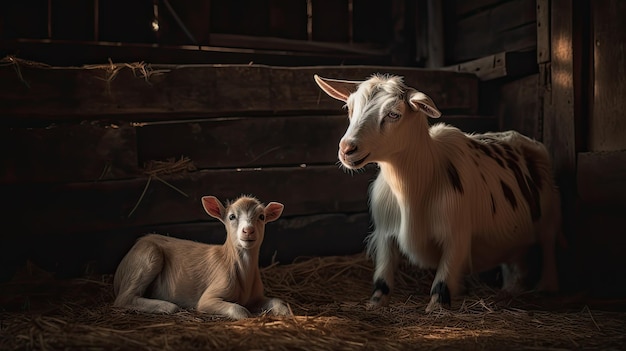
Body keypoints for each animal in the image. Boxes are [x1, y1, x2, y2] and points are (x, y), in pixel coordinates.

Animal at [113, 197, 288, 320]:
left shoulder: (256, 298)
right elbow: (240, 310)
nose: (248, 230)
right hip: (148, 257)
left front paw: (285, 312)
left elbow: (279, 303)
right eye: (232, 216)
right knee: (124, 298)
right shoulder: (209, 297)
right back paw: (167, 306)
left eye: (262, 216)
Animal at [314, 73, 560, 314]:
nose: (347, 149)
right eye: (349, 108)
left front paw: (436, 308)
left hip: (549, 220)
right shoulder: (384, 233)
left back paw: (546, 289)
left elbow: (442, 280)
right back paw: (510, 291)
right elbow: (383, 276)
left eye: (394, 114)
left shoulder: (457, 236)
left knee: (550, 249)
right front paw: (374, 304)